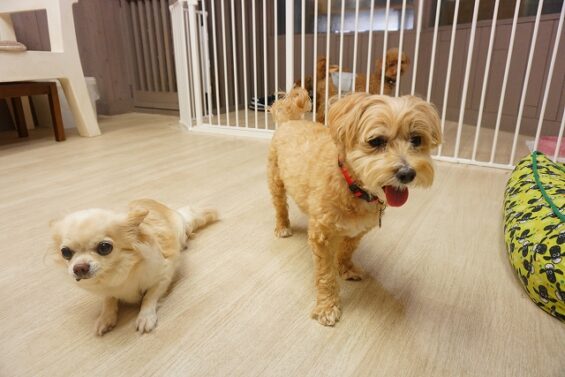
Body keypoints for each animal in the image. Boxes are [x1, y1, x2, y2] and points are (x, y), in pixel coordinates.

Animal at [268, 86, 440, 324]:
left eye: (416, 139)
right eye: (376, 141)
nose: (407, 173)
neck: (353, 186)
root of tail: (291, 120)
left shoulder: (358, 231)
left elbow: (347, 250)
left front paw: (346, 269)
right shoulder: (321, 237)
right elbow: (325, 276)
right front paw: (327, 307)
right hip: (276, 181)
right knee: (280, 207)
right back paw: (283, 226)